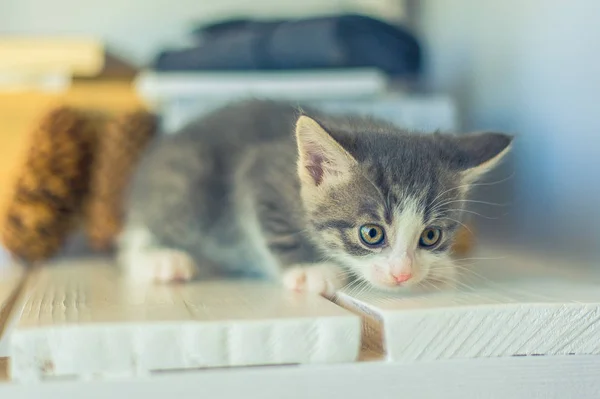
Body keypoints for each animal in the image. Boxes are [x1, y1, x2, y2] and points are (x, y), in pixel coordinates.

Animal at [117, 98, 510, 296]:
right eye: (371, 234)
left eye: (431, 236)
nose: (402, 275)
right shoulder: (260, 170)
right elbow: (275, 228)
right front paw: (310, 269)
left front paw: (437, 268)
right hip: (186, 180)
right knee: (139, 233)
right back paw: (161, 259)